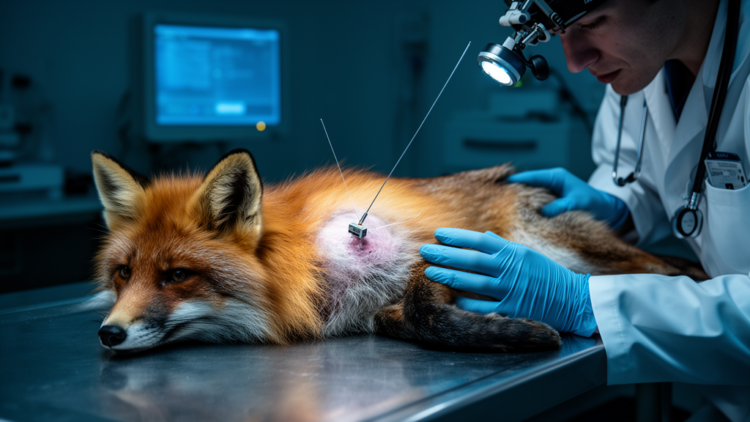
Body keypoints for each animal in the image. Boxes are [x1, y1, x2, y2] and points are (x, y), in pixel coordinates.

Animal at [91, 149, 706, 353]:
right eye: (123, 273)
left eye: (176, 276)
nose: (109, 334)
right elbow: (397, 318)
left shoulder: (432, 252)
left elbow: (421, 310)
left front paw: (520, 332)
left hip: (563, 246)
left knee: (665, 268)